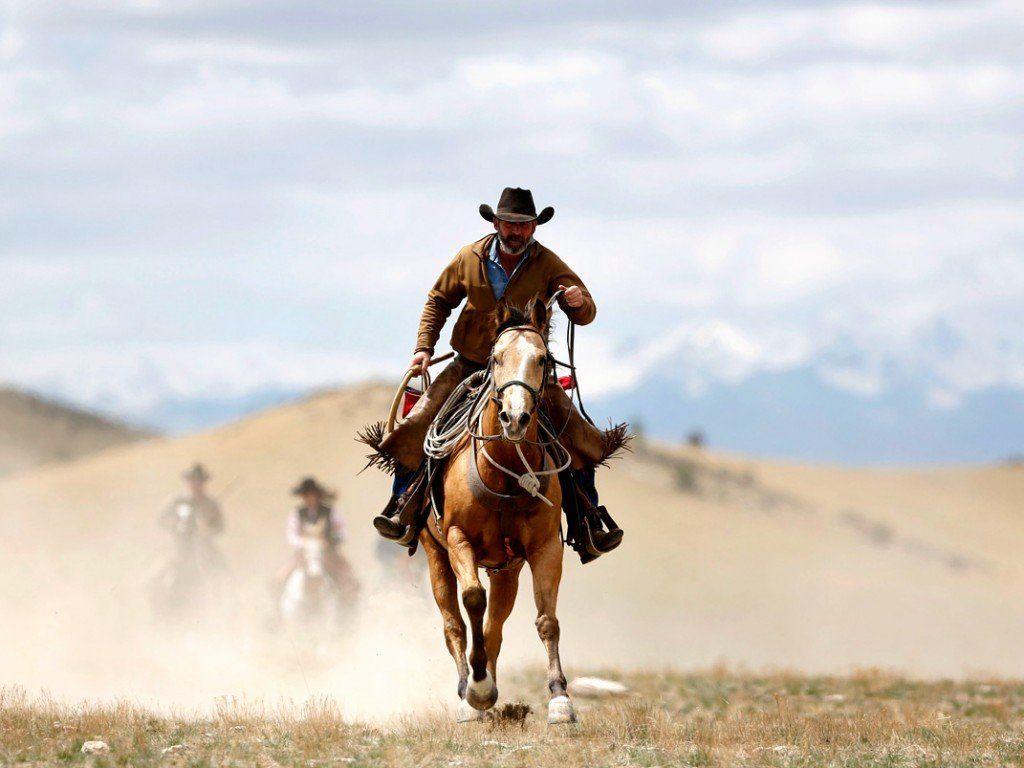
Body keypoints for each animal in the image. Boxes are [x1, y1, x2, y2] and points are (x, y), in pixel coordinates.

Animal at [420, 296, 578, 725]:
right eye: (495, 357)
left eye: (542, 359)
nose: (515, 417)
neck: (506, 475)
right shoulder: (458, 539)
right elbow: (473, 600)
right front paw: (475, 689)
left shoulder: (543, 548)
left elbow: (547, 620)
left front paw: (560, 699)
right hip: (435, 553)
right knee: (454, 624)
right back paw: (469, 691)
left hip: (507, 569)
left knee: (495, 626)